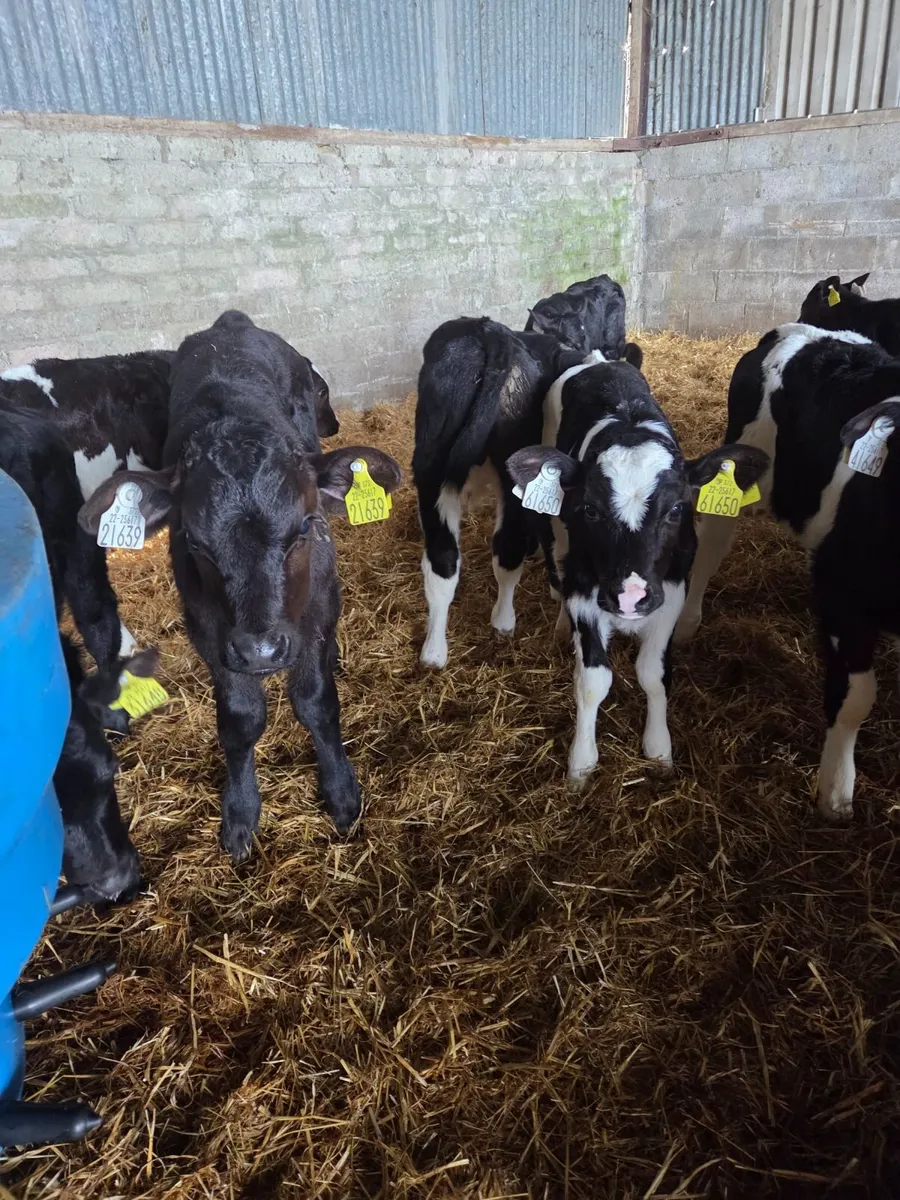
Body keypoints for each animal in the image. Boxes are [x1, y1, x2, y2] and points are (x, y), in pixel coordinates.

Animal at [78, 310, 402, 863]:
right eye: (194, 541)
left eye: (305, 527)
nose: (261, 650)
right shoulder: (210, 629)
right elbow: (240, 719)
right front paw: (241, 810)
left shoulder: (317, 606)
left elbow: (316, 701)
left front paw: (341, 792)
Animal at [507, 354, 767, 786]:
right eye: (590, 509)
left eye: (676, 509)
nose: (630, 597)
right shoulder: (586, 592)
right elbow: (593, 680)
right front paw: (581, 762)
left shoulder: (672, 591)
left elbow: (652, 674)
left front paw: (659, 748)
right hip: (556, 526)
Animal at [674, 322, 900, 820]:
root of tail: (800, 329)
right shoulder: (842, 589)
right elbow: (856, 697)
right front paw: (836, 792)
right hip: (739, 466)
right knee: (710, 545)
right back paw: (685, 624)